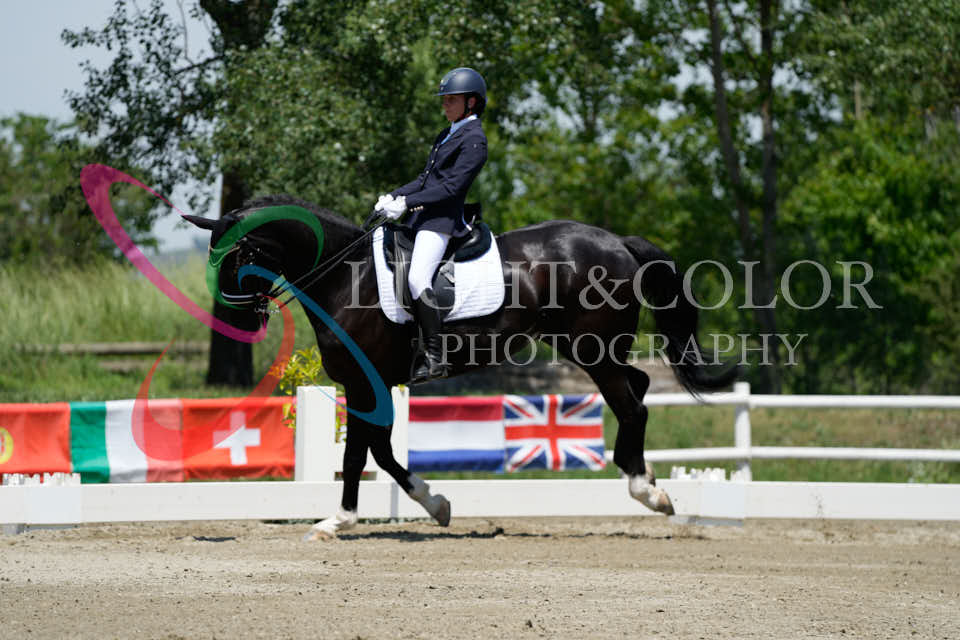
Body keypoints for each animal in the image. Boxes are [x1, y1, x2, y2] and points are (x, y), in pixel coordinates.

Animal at [184, 194, 737, 539]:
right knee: (636, 389)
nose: (239, 323)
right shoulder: (372, 385)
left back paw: (649, 492)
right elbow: (381, 452)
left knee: (632, 407)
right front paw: (437, 506)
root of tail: (618, 242)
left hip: (592, 349)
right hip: (591, 348)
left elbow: (361, 452)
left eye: (235, 258)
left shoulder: (365, 384)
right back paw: (642, 476)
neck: (346, 274)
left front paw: (337, 521)